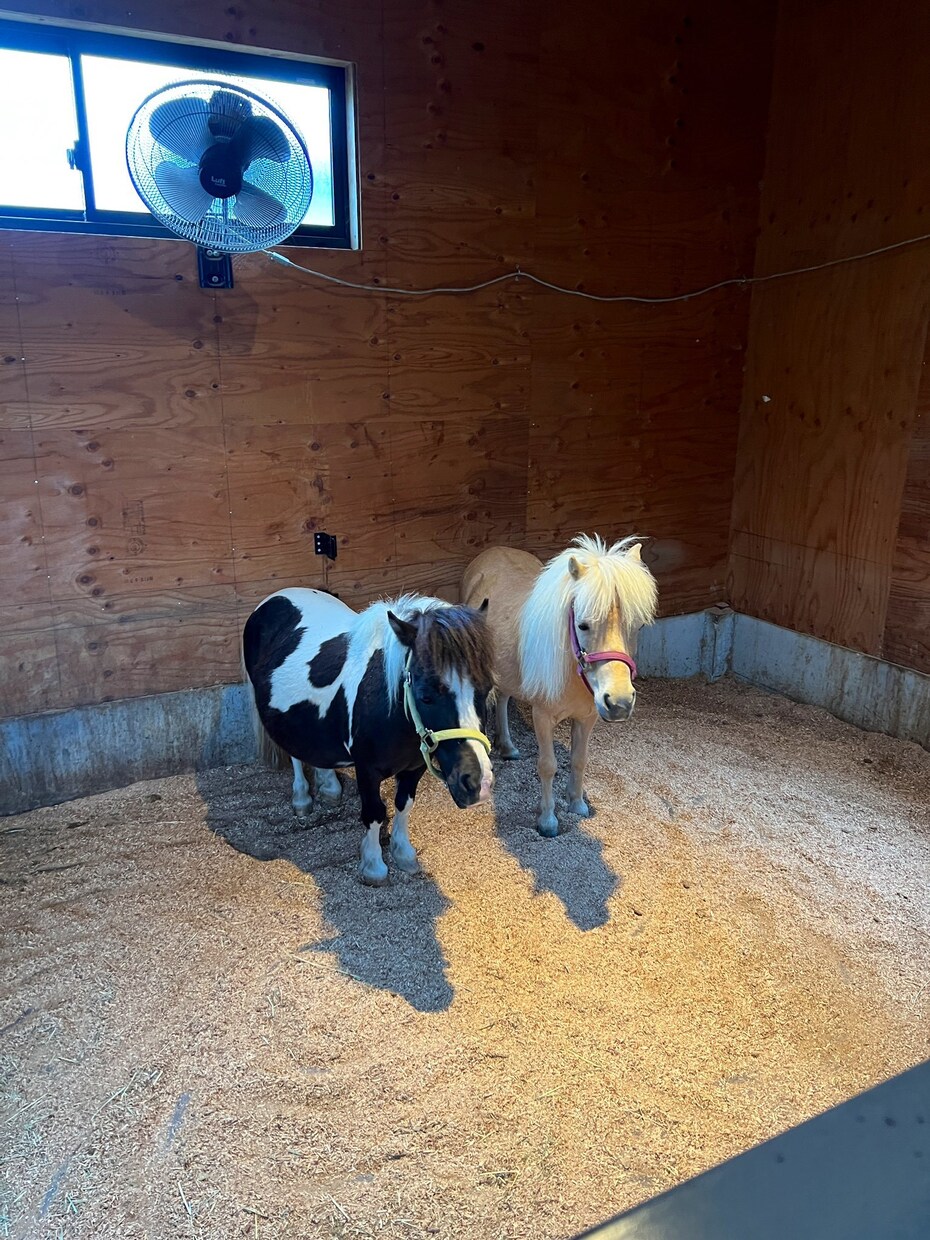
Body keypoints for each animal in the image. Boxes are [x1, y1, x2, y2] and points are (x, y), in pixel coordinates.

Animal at [242, 588, 495, 885]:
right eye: (426, 695)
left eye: (485, 689)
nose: (478, 784)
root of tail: (276, 597)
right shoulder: (367, 770)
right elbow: (375, 813)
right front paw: (374, 866)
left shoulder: (415, 768)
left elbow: (404, 804)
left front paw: (404, 853)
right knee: (295, 755)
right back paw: (302, 799)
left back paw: (330, 788)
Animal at [462, 535, 657, 836]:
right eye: (583, 625)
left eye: (638, 625)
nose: (619, 703)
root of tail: (490, 552)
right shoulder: (542, 717)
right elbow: (547, 766)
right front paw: (547, 820)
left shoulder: (587, 718)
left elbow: (579, 759)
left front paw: (576, 803)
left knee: (504, 697)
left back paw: (507, 746)